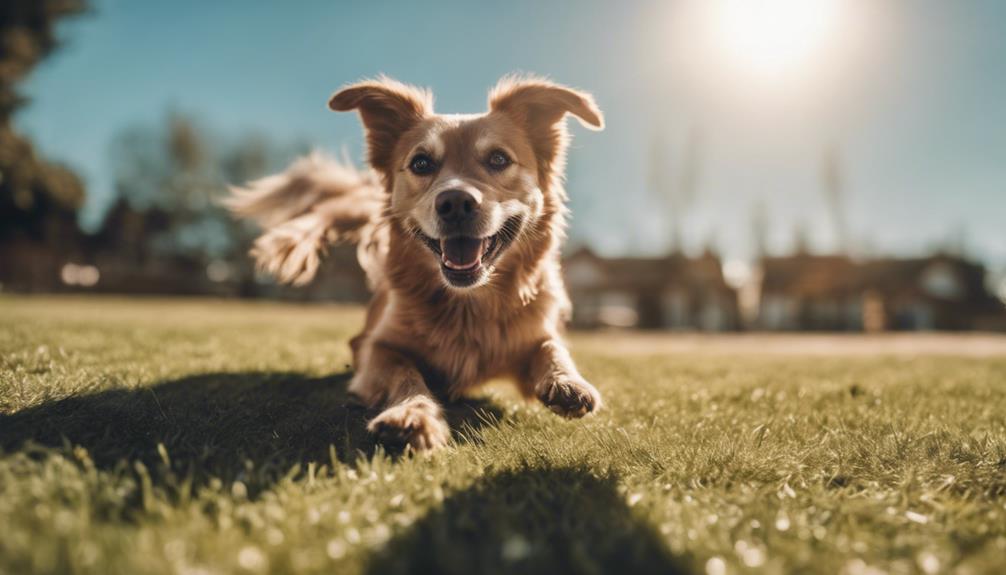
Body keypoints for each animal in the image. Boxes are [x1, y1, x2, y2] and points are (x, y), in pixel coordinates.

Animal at [227, 75, 599, 448]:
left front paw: (568, 381)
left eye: (498, 159)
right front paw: (412, 413)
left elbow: (552, 347)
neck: (467, 307)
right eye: (421, 163)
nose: (455, 202)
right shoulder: (377, 349)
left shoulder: (533, 336)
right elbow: (405, 373)